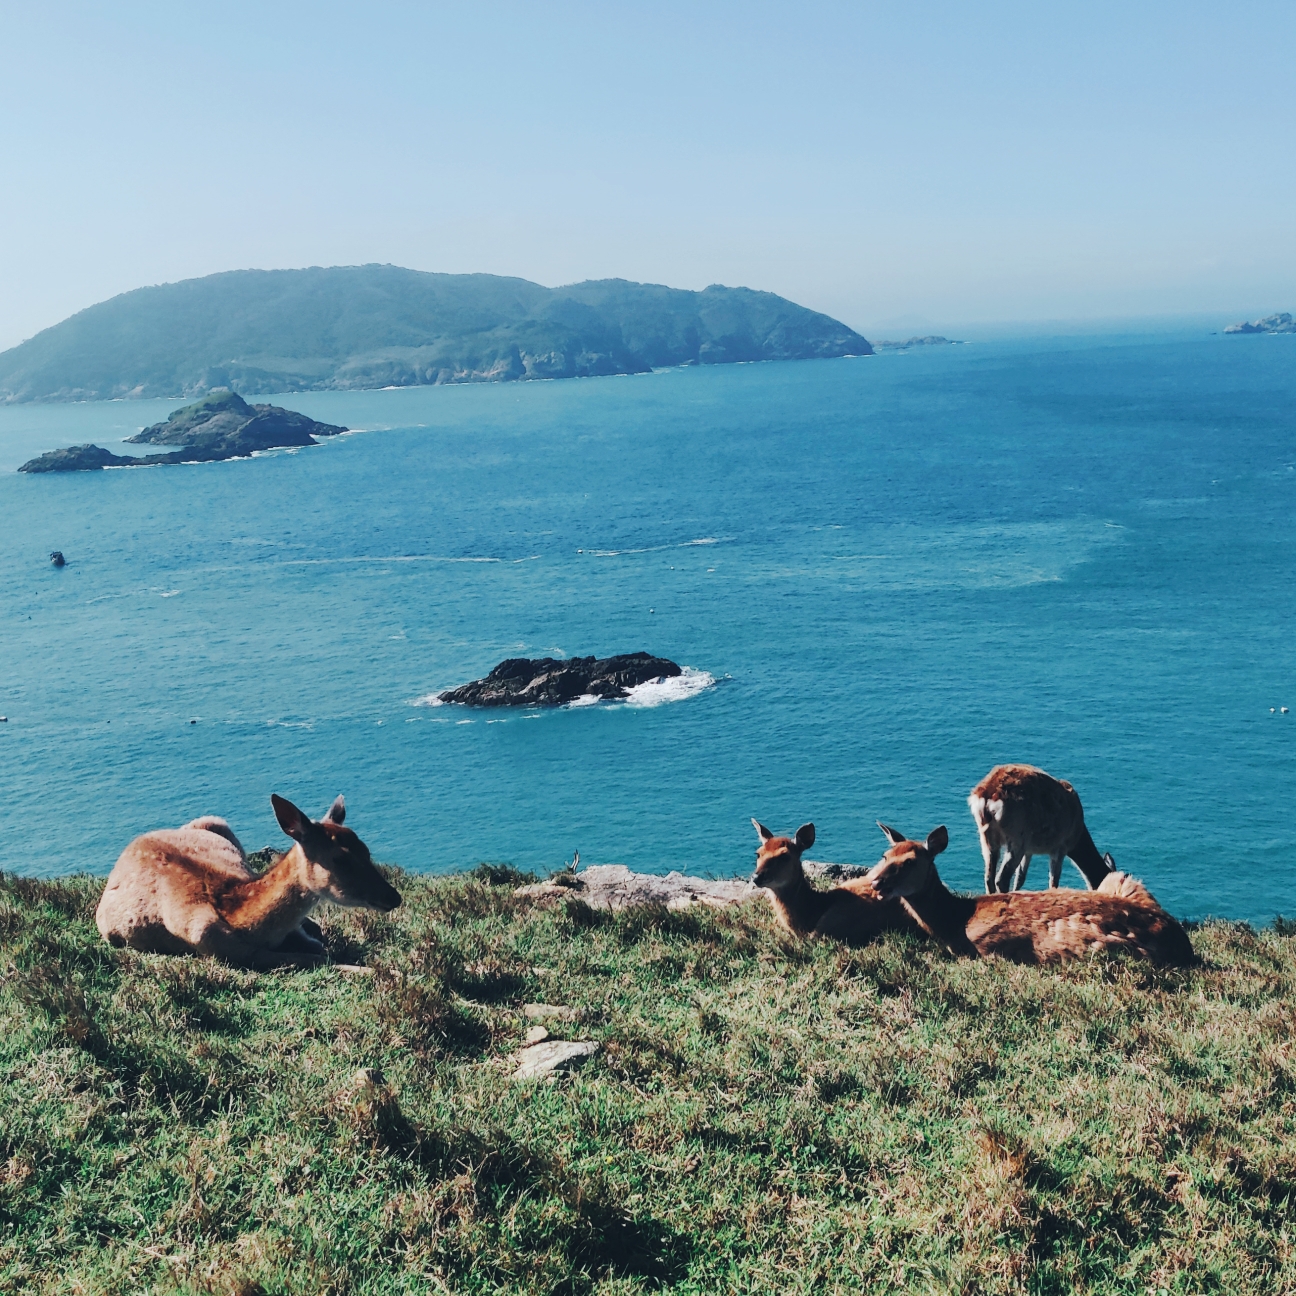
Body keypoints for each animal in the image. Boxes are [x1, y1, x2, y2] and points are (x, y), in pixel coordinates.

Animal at [94, 787, 399, 964]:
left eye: (366, 850)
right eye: (340, 859)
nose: (394, 897)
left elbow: (316, 945)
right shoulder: (215, 945)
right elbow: (316, 959)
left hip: (215, 821)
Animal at [865, 819, 1187, 964]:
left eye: (910, 862)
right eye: (884, 855)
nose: (877, 883)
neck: (957, 920)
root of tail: (1183, 944)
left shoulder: (988, 949)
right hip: (1121, 881)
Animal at [969, 762, 1119, 896]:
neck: (1076, 837)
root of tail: (988, 796)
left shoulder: (1029, 851)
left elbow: (1020, 878)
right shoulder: (1060, 847)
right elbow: (1053, 882)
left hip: (986, 835)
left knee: (989, 876)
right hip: (1017, 834)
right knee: (1001, 879)